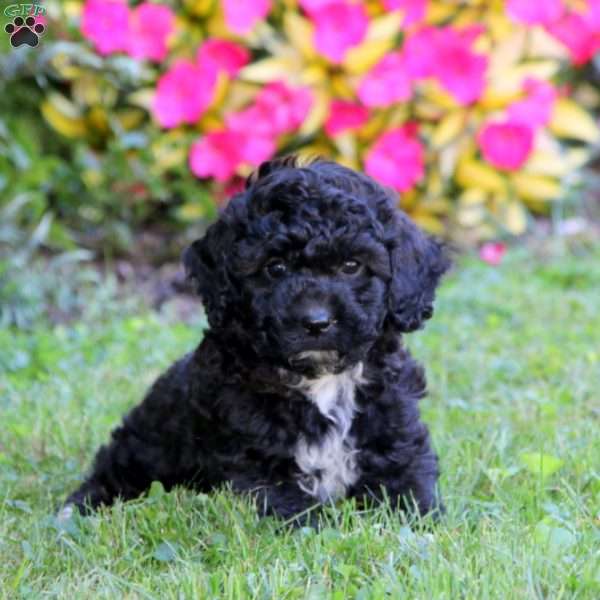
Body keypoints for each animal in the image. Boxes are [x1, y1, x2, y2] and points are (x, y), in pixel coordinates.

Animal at [64, 157, 450, 524]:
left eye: (352, 265)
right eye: (275, 267)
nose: (316, 322)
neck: (321, 379)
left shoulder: (395, 427)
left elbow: (407, 485)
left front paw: (416, 520)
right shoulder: (253, 456)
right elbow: (287, 504)